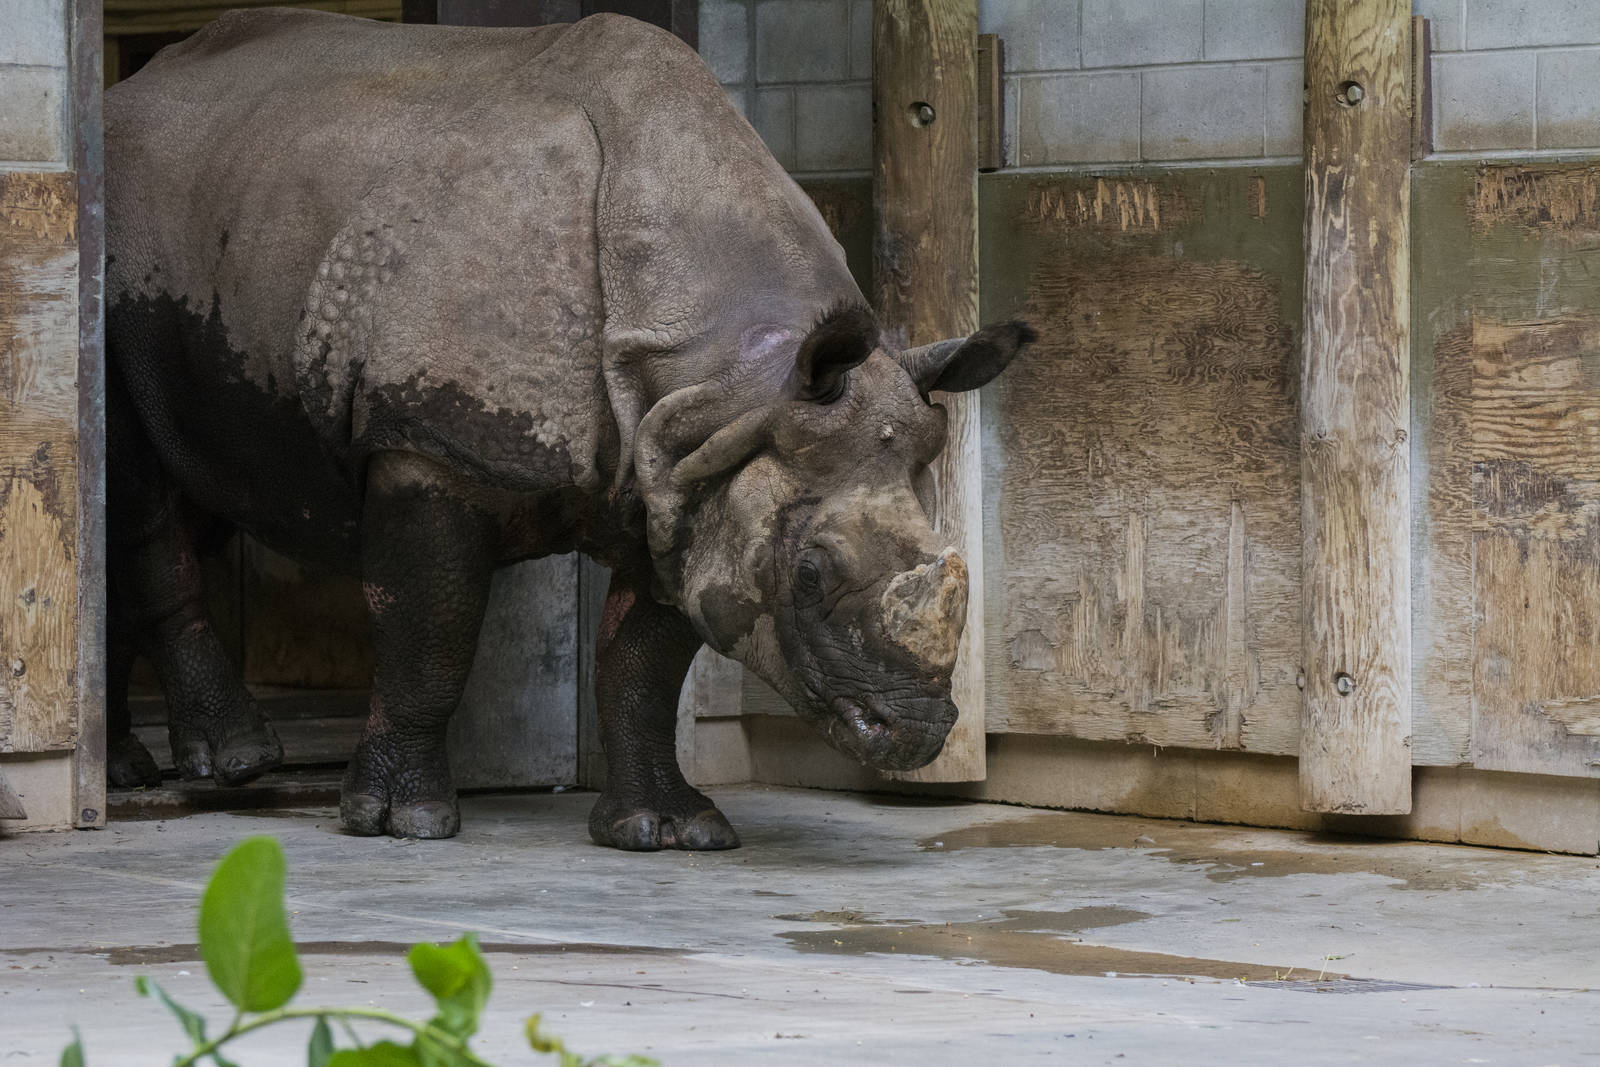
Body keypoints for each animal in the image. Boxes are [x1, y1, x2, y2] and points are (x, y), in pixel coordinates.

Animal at [103, 9, 1033, 847]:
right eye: (808, 575)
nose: (915, 732)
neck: (736, 375)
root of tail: (122, 95)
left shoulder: (688, 466)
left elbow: (644, 661)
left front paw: (667, 830)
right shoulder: (428, 440)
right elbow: (427, 631)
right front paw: (401, 822)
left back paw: (142, 769)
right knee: (131, 478)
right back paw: (235, 762)